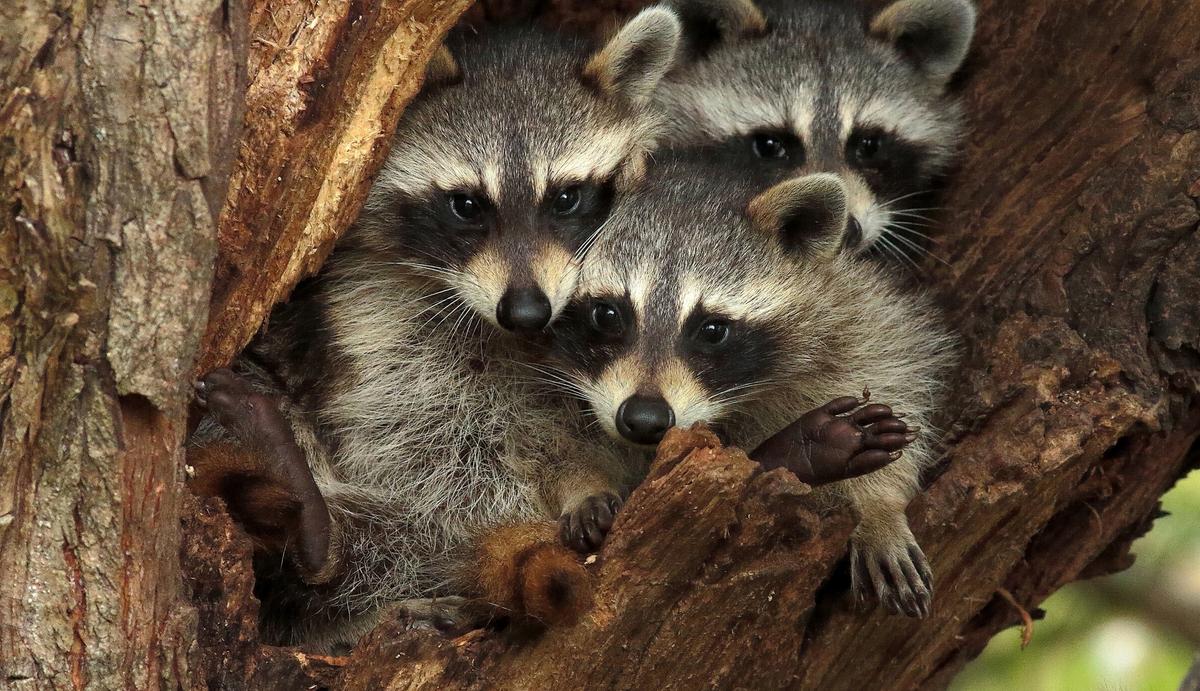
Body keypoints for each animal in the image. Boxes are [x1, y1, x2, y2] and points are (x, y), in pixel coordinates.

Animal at [549, 150, 957, 617]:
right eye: (608, 314)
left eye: (712, 330)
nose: (644, 418)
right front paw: (582, 483)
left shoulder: (851, 306)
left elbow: (893, 369)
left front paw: (879, 507)